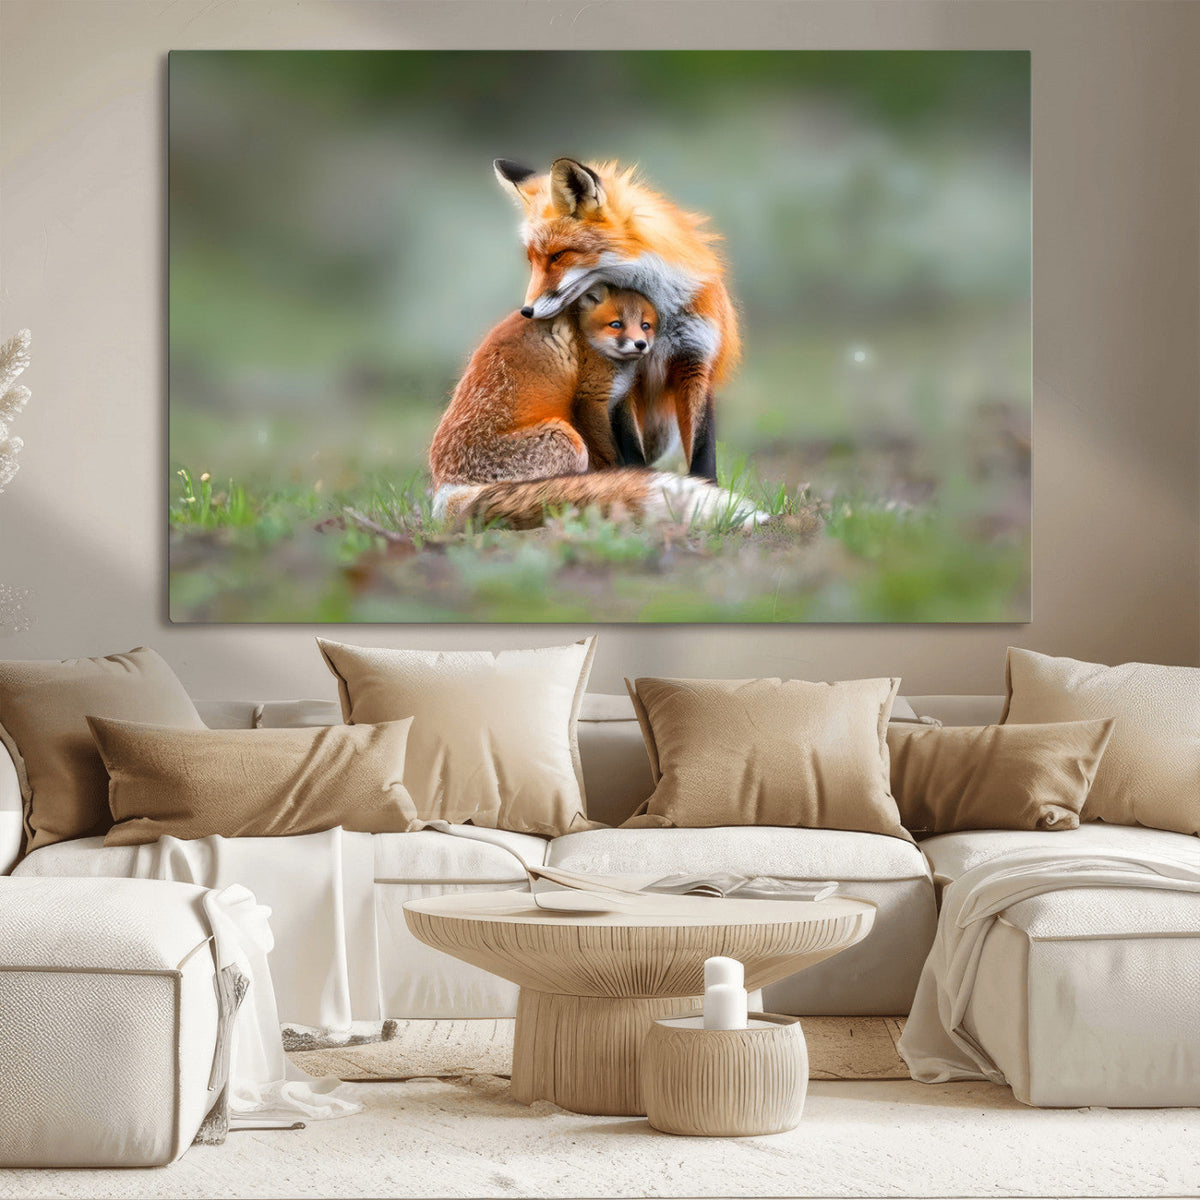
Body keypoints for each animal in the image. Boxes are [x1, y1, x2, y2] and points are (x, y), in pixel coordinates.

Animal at [494, 156, 740, 483]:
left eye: (558, 256)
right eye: (532, 260)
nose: (527, 311)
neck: (659, 315)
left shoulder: (695, 362)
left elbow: (702, 450)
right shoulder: (623, 377)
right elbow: (631, 449)